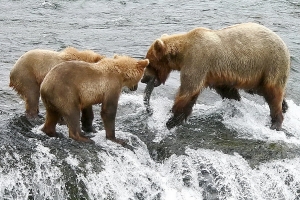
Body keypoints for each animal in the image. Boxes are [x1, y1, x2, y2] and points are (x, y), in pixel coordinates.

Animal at [142, 22, 290, 130]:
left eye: (149, 63)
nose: (144, 79)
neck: (182, 54)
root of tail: (283, 43)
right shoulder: (217, 74)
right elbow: (226, 90)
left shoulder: (197, 61)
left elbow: (188, 90)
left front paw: (172, 119)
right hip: (259, 75)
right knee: (262, 91)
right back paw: (284, 105)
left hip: (271, 64)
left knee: (272, 92)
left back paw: (276, 122)